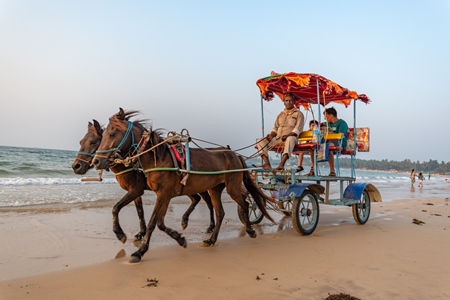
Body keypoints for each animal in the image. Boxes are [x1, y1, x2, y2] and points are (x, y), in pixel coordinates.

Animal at [72, 118, 216, 244]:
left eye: (93, 142)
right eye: (81, 142)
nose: (76, 166)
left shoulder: (136, 190)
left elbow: (116, 208)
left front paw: (121, 234)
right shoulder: (136, 192)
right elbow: (140, 211)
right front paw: (141, 233)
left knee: (208, 202)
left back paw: (210, 226)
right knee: (196, 199)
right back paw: (186, 221)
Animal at [92, 108, 272, 262]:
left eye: (112, 133)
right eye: (102, 136)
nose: (96, 161)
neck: (158, 158)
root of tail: (233, 153)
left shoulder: (159, 194)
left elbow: (151, 223)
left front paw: (139, 251)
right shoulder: (163, 195)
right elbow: (159, 222)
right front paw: (179, 239)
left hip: (232, 187)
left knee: (245, 203)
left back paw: (250, 230)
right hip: (214, 189)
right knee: (220, 212)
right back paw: (211, 240)